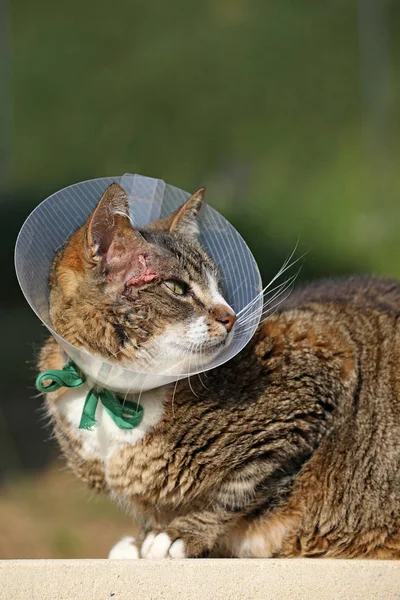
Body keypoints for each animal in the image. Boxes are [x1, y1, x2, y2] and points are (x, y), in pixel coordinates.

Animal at [38, 183, 400, 556]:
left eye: (217, 287)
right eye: (176, 287)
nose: (231, 316)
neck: (115, 393)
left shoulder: (317, 370)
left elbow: (239, 487)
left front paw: (178, 535)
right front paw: (140, 541)